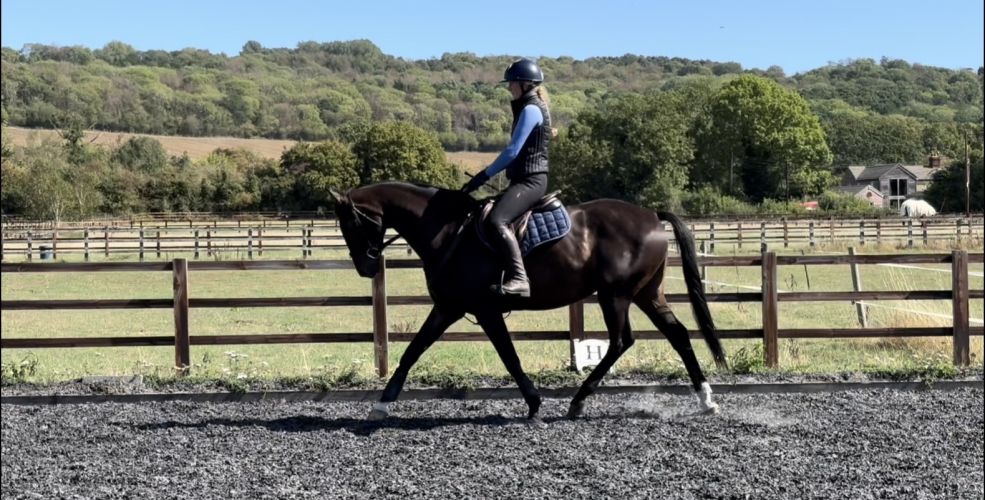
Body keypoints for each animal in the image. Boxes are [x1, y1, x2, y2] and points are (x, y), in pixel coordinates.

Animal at [328, 181, 727, 426]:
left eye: (350, 224)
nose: (365, 268)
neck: (447, 231)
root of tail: (651, 215)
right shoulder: (447, 308)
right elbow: (413, 351)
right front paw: (382, 402)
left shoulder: (485, 310)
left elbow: (508, 355)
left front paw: (534, 403)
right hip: (646, 293)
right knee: (677, 334)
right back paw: (705, 399)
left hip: (616, 295)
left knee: (620, 341)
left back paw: (579, 400)